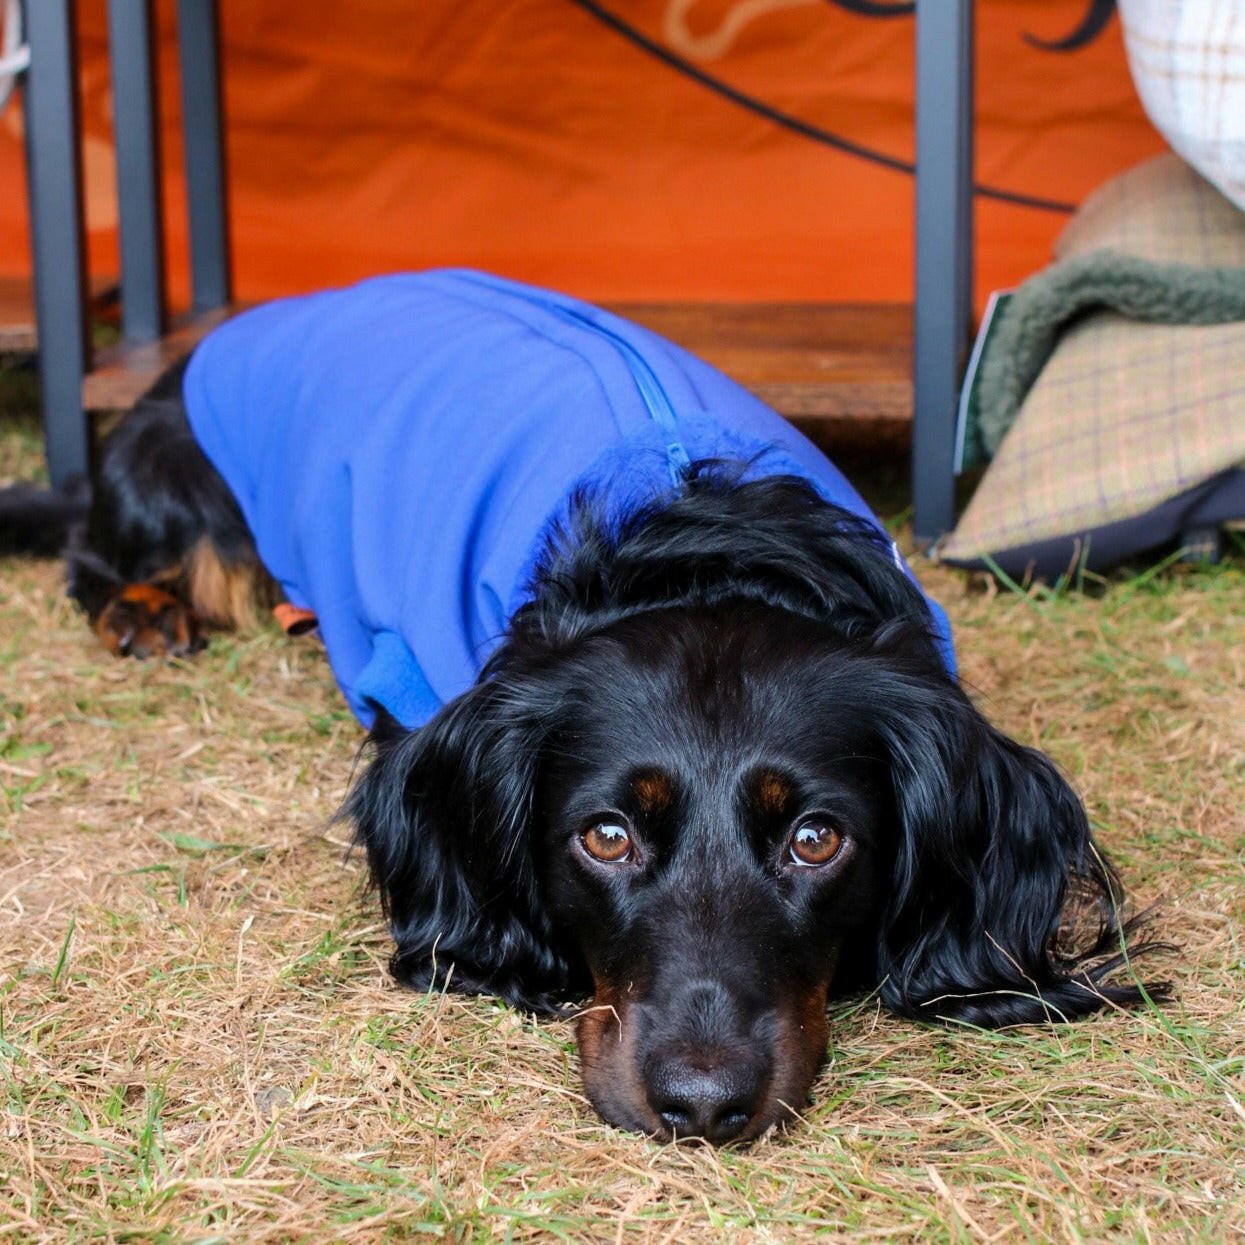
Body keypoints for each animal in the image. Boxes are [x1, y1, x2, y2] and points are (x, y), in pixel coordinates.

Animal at [2, 306, 1165, 1140]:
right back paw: (144, 610)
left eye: (815, 838)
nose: (701, 1107)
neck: (703, 543)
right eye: (604, 836)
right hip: (175, 485)